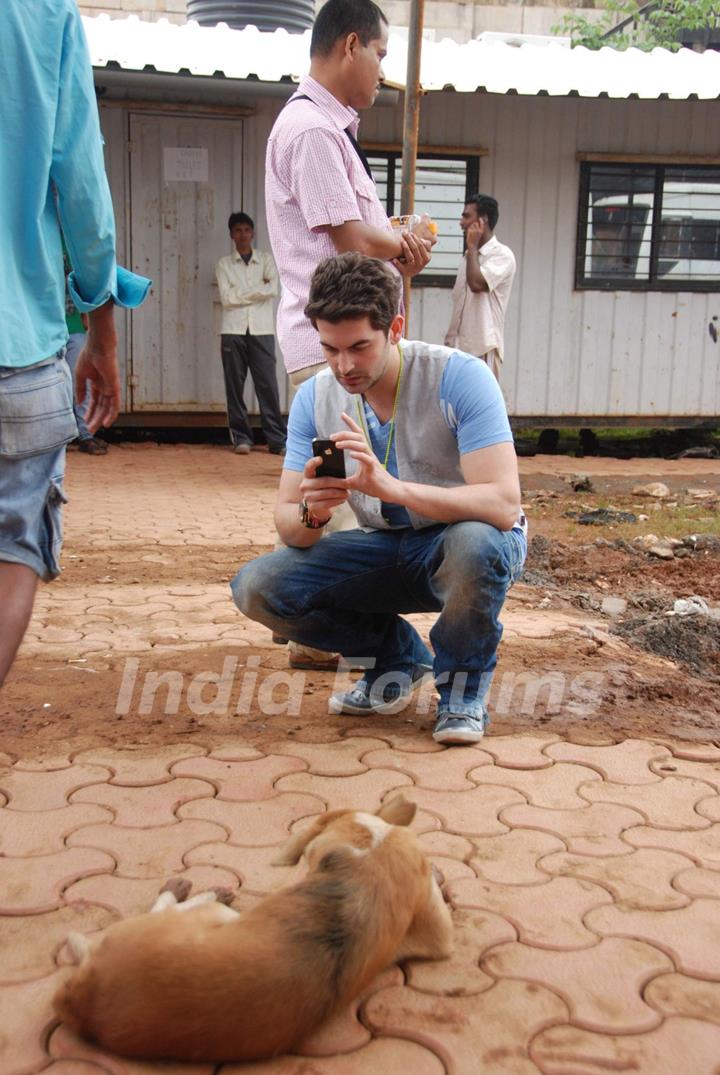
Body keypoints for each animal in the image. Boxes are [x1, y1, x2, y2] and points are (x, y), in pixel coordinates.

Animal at [53, 795, 453, 1062]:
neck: (371, 840)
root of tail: (81, 999)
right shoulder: (438, 935)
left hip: (207, 917)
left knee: (172, 906)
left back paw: (194, 889)